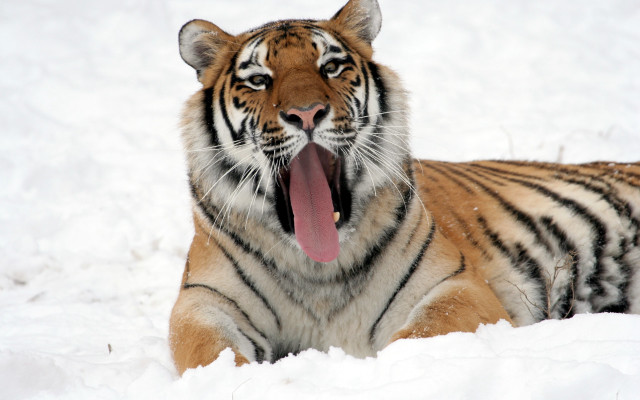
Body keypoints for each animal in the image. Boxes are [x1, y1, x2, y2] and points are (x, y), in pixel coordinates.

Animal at [169, 0, 640, 374]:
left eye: (331, 68)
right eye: (259, 80)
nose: (306, 113)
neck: (318, 269)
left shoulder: (455, 286)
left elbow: (421, 334)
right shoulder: (203, 301)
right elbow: (208, 351)